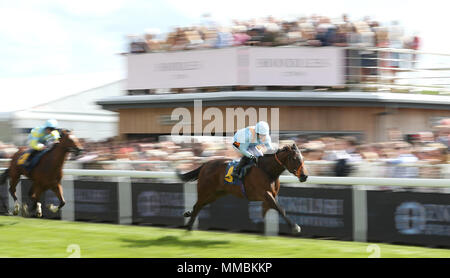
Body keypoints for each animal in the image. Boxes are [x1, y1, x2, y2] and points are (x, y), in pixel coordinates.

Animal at [178, 143, 308, 235]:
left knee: (199, 205)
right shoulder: (265, 194)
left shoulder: (270, 196)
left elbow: (266, 211)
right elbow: (280, 209)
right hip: (205, 191)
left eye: (302, 158)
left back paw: (188, 218)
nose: (305, 176)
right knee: (198, 205)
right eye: (294, 158)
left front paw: (260, 227)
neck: (268, 171)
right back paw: (189, 226)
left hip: (216, 194)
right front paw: (295, 227)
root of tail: (205, 164)